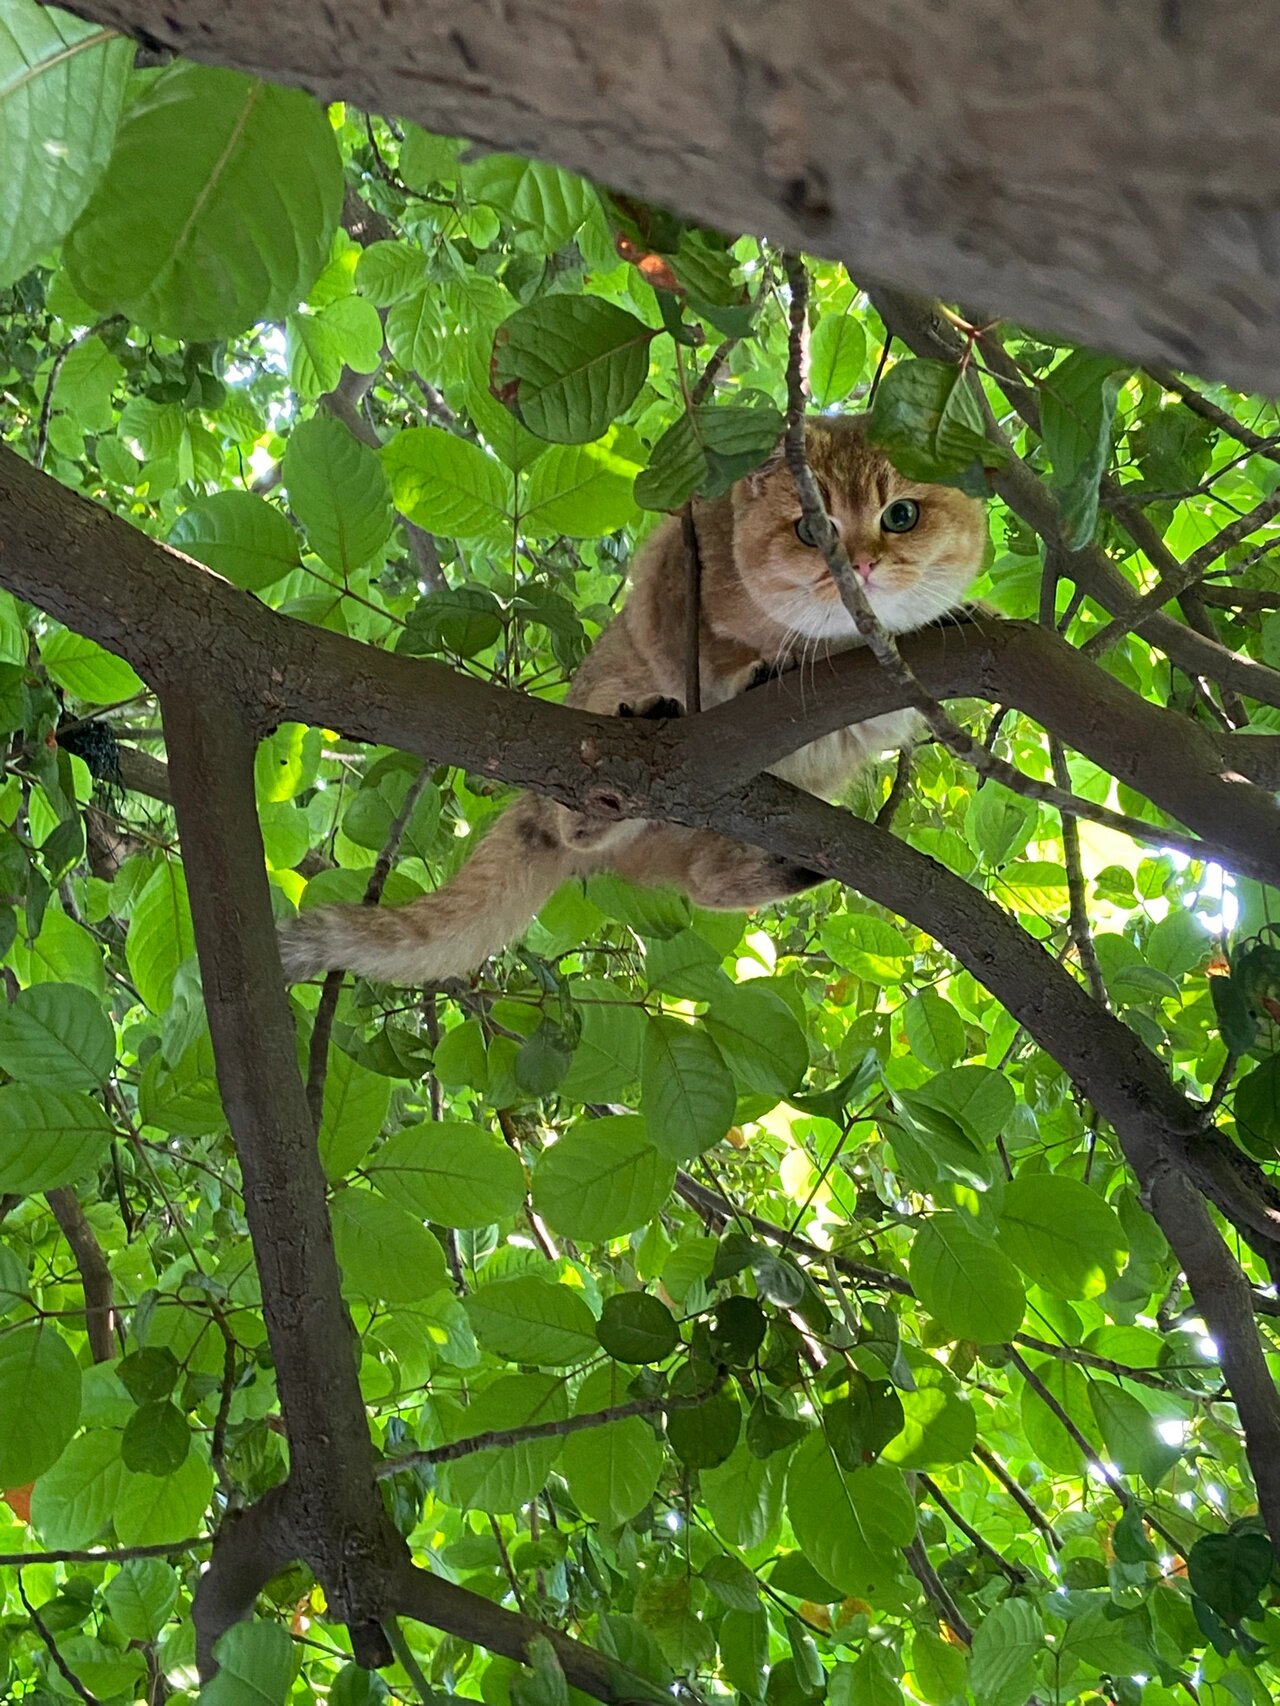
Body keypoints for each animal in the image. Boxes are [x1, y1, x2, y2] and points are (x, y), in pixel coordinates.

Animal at [278, 414, 983, 996]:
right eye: (813, 528)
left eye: (901, 515)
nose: (860, 564)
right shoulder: (671, 565)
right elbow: (696, 664)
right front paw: (749, 675)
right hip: (596, 728)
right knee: (591, 818)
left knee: (706, 877)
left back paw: (792, 865)